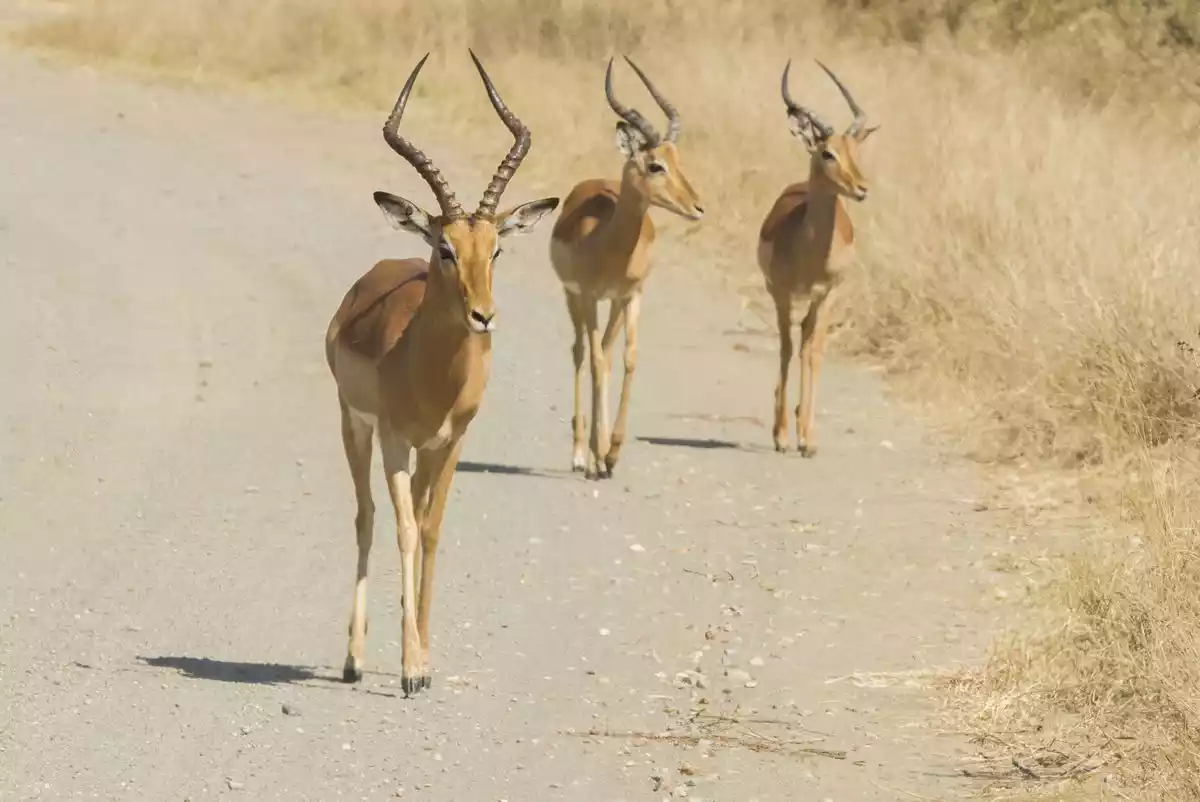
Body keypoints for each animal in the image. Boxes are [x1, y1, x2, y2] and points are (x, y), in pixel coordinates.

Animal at [325, 52, 559, 694]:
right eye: (445, 248)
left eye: (496, 248)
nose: (484, 315)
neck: (427, 372)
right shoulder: (395, 441)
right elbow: (404, 529)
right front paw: (408, 669)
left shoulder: (451, 443)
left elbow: (430, 531)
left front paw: (425, 663)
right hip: (355, 427)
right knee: (366, 516)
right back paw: (354, 660)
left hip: (423, 452)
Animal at [549, 57, 704, 480]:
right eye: (655, 165)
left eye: (678, 161)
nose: (698, 207)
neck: (607, 243)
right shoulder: (588, 295)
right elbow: (594, 360)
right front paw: (597, 451)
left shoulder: (631, 295)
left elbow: (627, 359)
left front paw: (613, 451)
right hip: (573, 298)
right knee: (581, 353)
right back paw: (580, 453)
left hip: (613, 305)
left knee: (602, 353)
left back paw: (598, 454)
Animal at [757, 60, 878, 457]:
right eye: (828, 153)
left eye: (856, 150)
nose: (862, 188)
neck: (809, 252)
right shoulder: (782, 293)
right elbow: (785, 348)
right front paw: (781, 436)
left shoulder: (828, 295)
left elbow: (813, 352)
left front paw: (808, 439)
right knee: (793, 343)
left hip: (816, 301)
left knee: (809, 343)